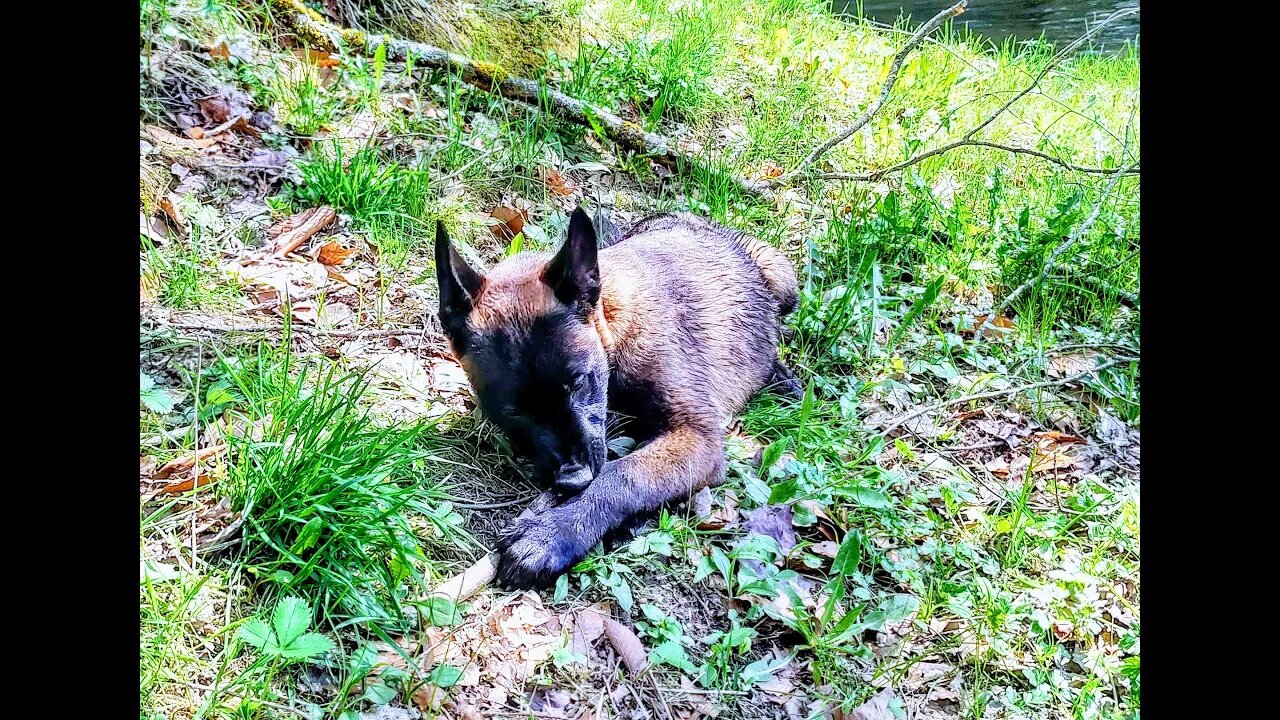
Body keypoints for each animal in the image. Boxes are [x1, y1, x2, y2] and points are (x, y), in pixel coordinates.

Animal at [440, 204, 798, 586]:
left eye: (579, 382)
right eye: (513, 411)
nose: (573, 478)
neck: (612, 325)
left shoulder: (695, 436)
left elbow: (622, 475)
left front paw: (551, 535)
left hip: (781, 274)